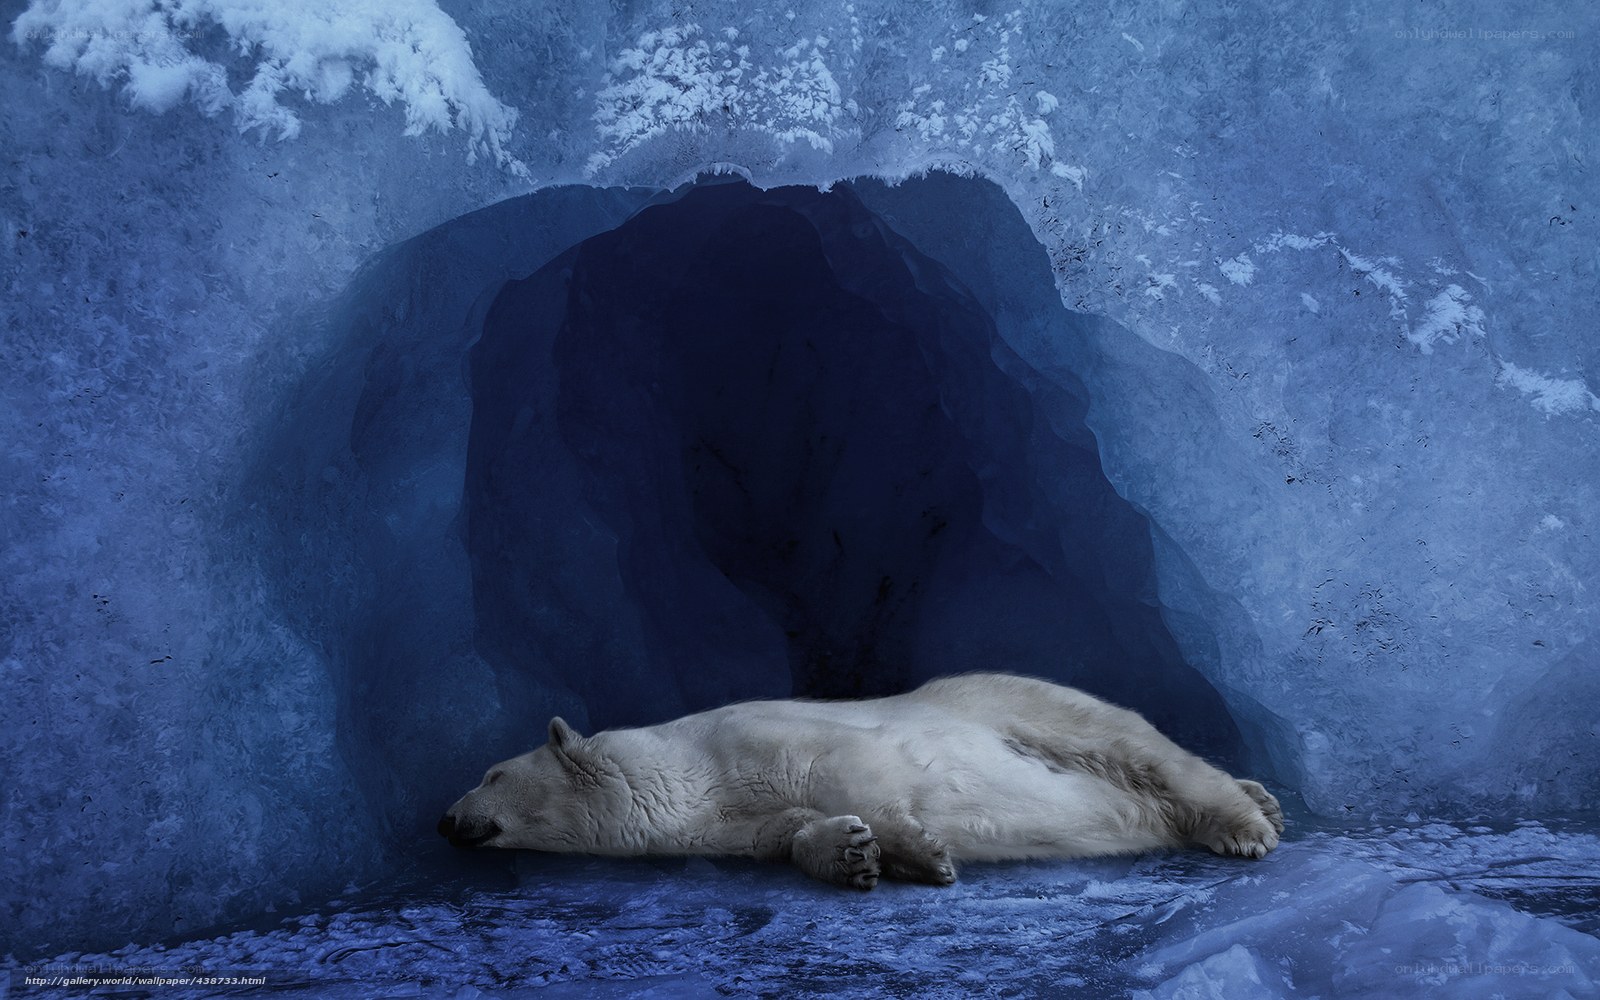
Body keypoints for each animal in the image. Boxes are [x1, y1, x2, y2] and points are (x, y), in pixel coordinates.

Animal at [437, 673, 1284, 888]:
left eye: (491, 771)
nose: (444, 820)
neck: (689, 771)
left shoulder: (760, 736)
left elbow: (855, 768)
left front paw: (921, 851)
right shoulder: (729, 821)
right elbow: (783, 835)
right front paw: (850, 854)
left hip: (1032, 707)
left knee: (1138, 750)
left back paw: (1244, 825)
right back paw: (1260, 798)